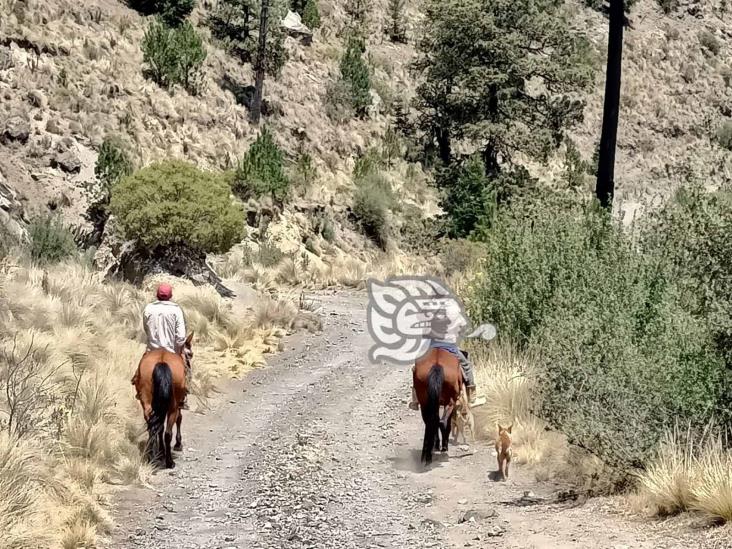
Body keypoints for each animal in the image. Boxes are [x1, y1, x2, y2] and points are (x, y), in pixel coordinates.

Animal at [132, 332, 193, 468]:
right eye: (190, 354)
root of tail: (162, 361)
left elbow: (158, 427)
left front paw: (160, 451)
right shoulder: (178, 405)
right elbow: (179, 419)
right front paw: (178, 444)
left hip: (148, 404)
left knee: (153, 428)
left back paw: (152, 455)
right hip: (173, 407)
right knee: (168, 433)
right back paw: (169, 462)